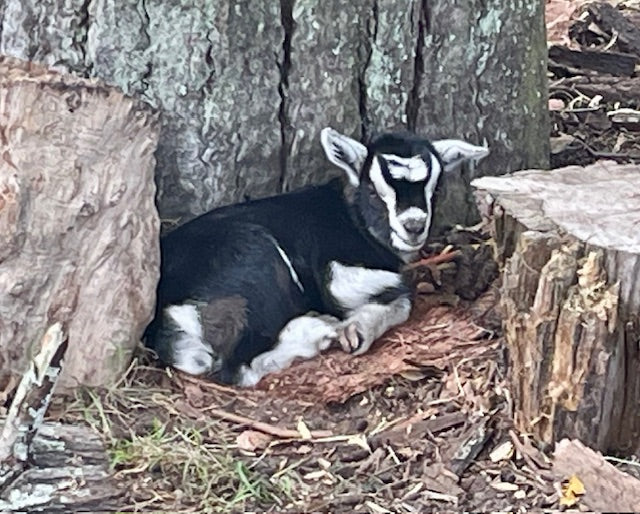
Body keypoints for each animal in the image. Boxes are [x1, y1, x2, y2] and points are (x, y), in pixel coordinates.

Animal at [145, 128, 489, 386]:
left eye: (436, 188)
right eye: (374, 191)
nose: (413, 226)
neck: (350, 218)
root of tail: (170, 313)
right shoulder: (338, 274)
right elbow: (401, 297)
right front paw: (356, 330)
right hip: (256, 266)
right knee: (236, 369)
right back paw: (319, 332)